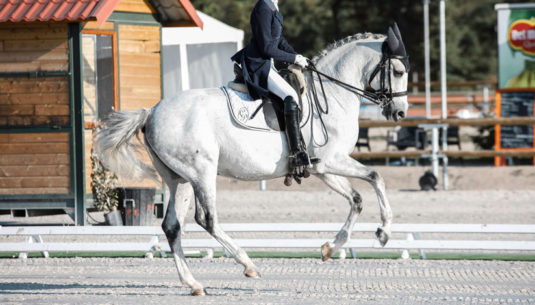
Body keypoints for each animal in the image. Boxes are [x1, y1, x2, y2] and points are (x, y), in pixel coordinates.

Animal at [97, 26, 410, 294]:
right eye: (397, 71)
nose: (400, 113)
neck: (334, 95)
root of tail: (152, 111)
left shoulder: (322, 167)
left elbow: (356, 198)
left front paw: (331, 248)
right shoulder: (332, 160)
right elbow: (376, 178)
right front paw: (384, 232)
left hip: (179, 179)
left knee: (173, 226)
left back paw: (194, 284)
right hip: (202, 173)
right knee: (207, 219)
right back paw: (247, 264)